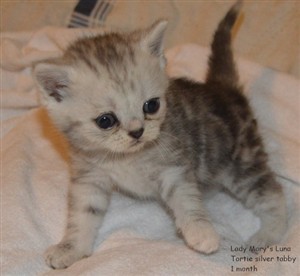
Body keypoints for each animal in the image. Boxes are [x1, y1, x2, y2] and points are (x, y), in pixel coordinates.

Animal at [32, 0, 286, 270]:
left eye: (151, 105)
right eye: (105, 121)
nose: (137, 131)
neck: (125, 157)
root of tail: (222, 88)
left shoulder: (173, 167)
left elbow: (185, 199)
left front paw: (201, 231)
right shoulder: (89, 177)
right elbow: (82, 214)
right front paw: (70, 249)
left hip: (240, 163)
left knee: (273, 192)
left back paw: (267, 236)